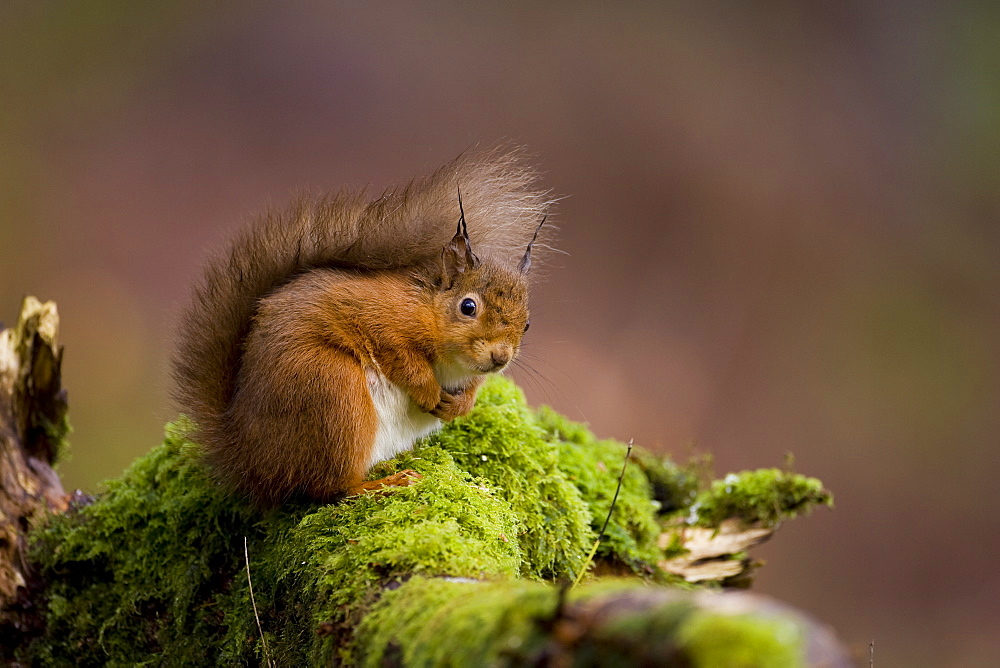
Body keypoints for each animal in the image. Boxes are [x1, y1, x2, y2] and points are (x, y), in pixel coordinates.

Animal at [170, 150, 548, 506]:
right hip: (333, 393)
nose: (500, 357)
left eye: (528, 324)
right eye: (468, 307)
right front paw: (428, 392)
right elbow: (402, 358)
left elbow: (473, 388)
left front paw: (458, 407)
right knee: (331, 488)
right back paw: (384, 483)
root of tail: (248, 458)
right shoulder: (380, 317)